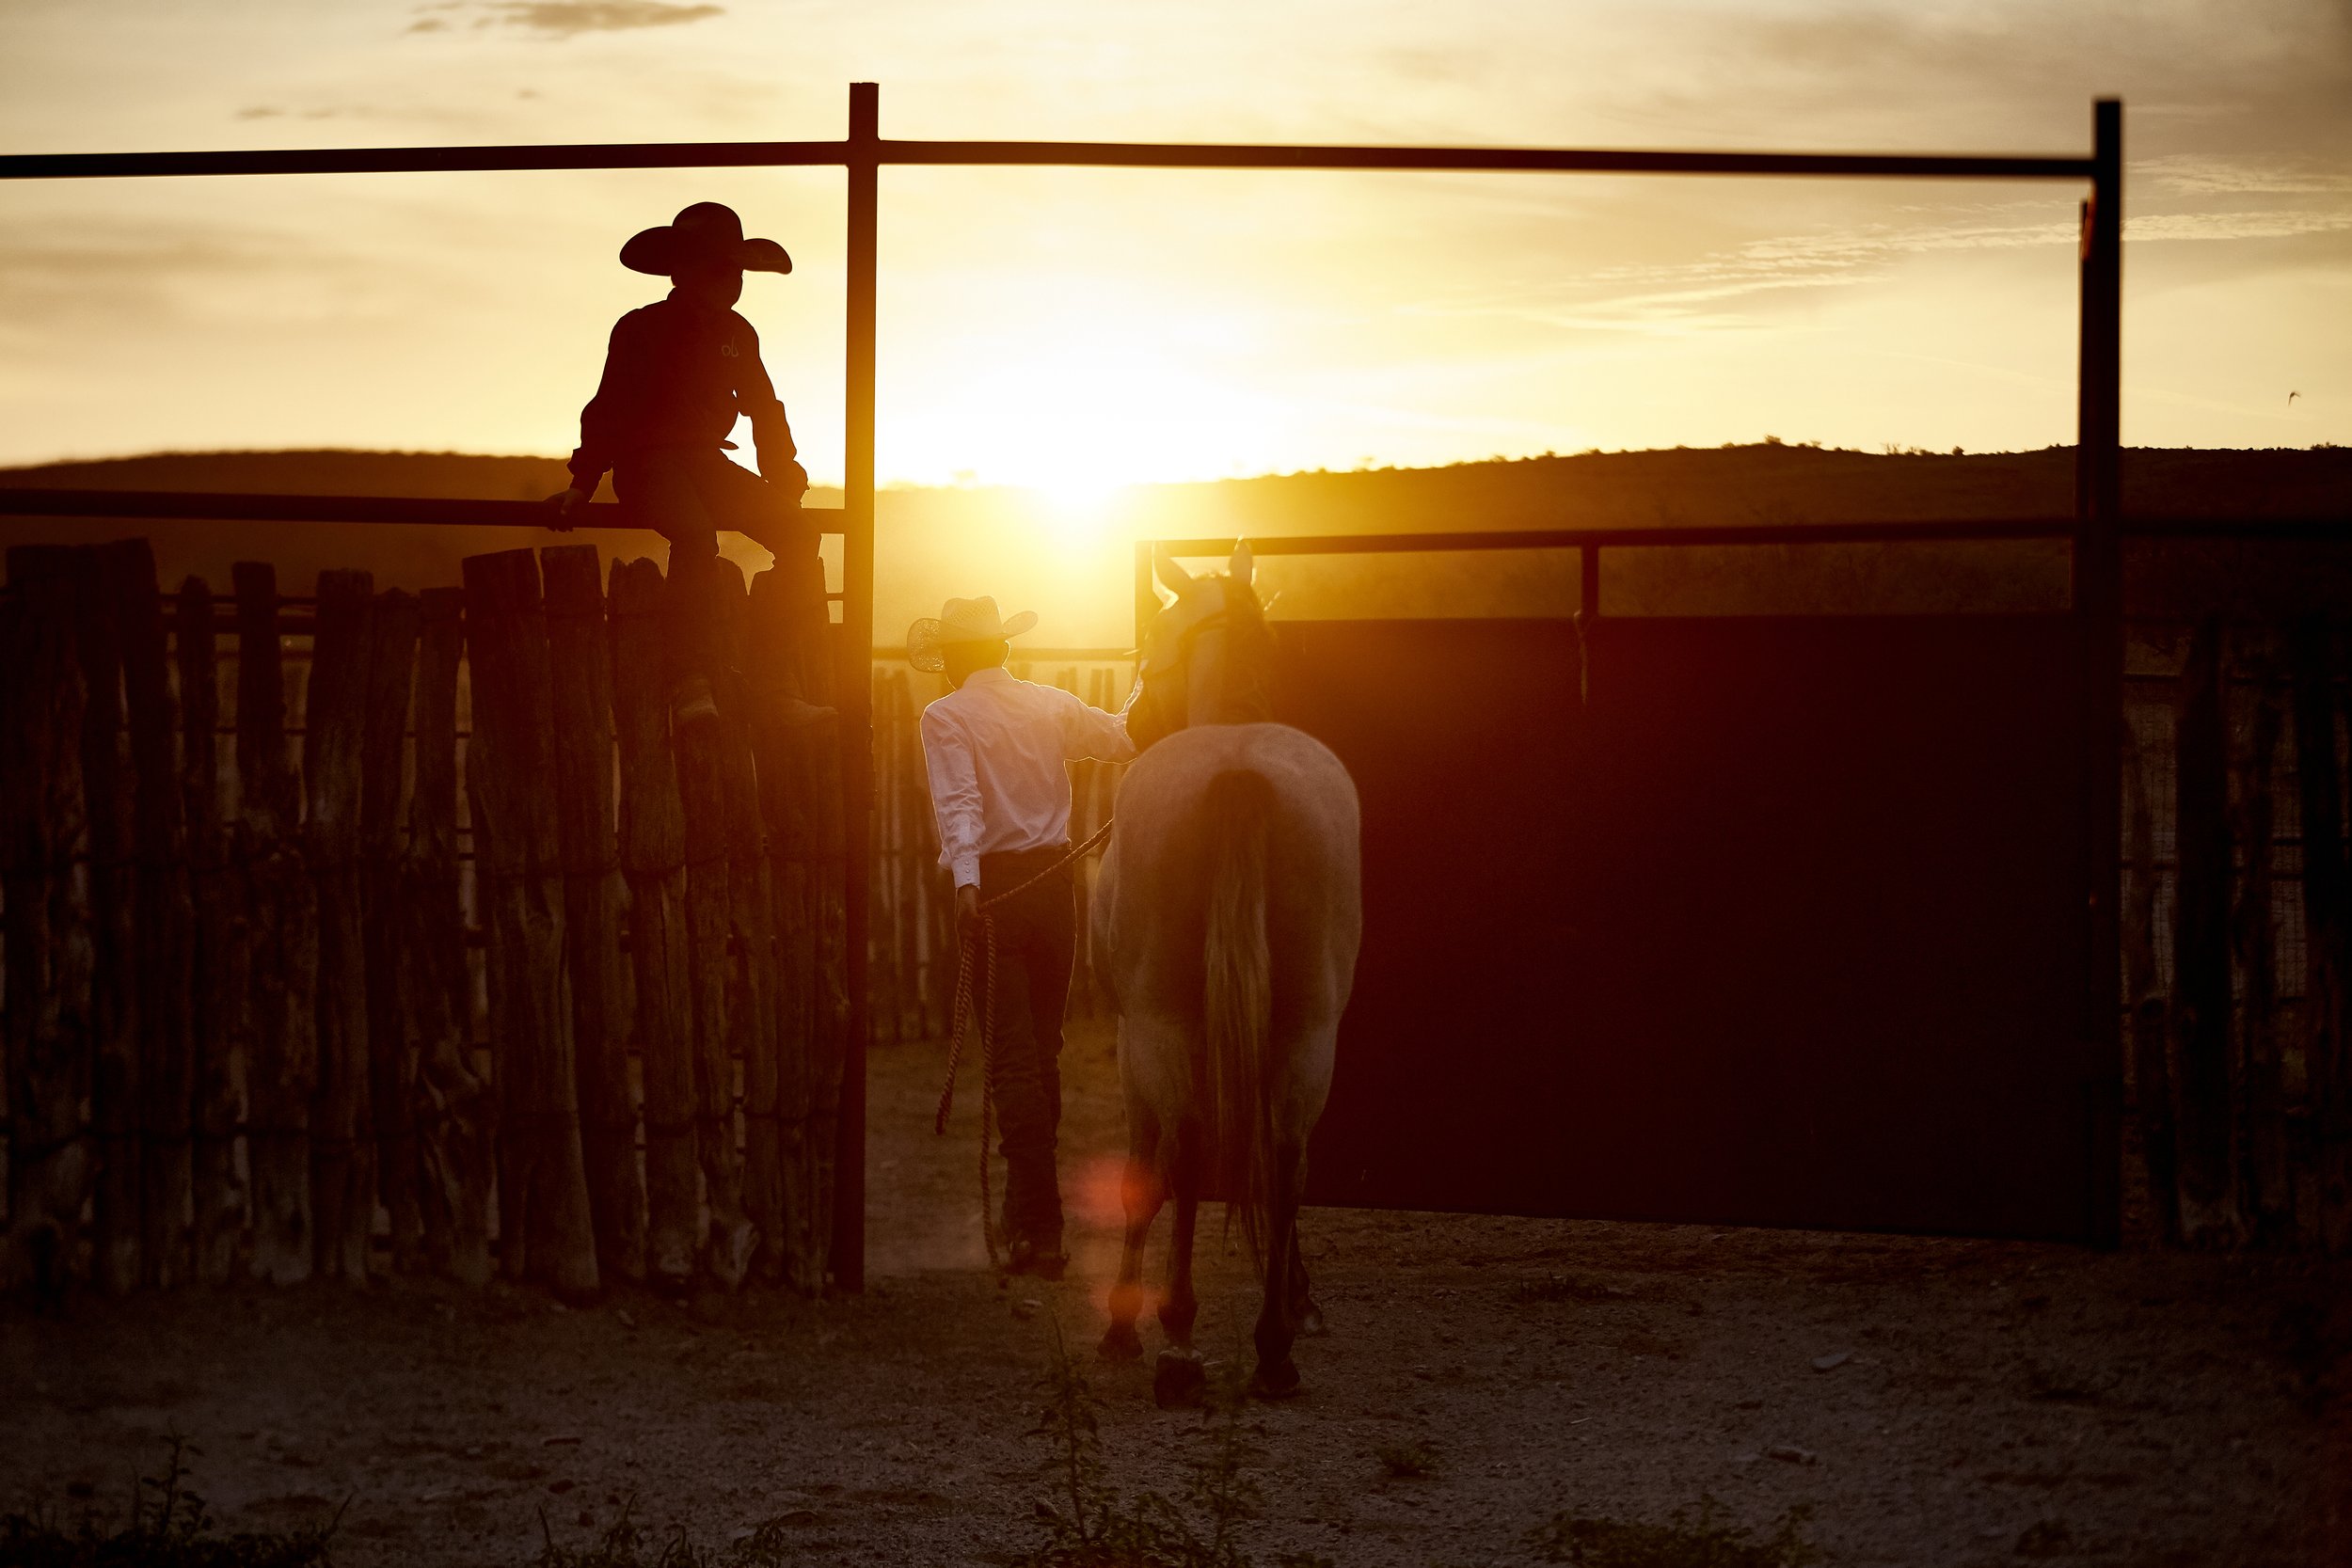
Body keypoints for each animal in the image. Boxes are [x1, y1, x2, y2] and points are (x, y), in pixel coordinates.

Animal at [1087, 545, 1364, 1401]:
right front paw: (1300, 1297)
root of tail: (1241, 774)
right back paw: (1273, 1347)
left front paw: (1123, 1322)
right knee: (1285, 1154)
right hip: (1308, 1028)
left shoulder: (1130, 1042)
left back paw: (1174, 1334)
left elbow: (1142, 1170)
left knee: (1184, 1150)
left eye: (1155, 644)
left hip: (1163, 1028)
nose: (1136, 721)